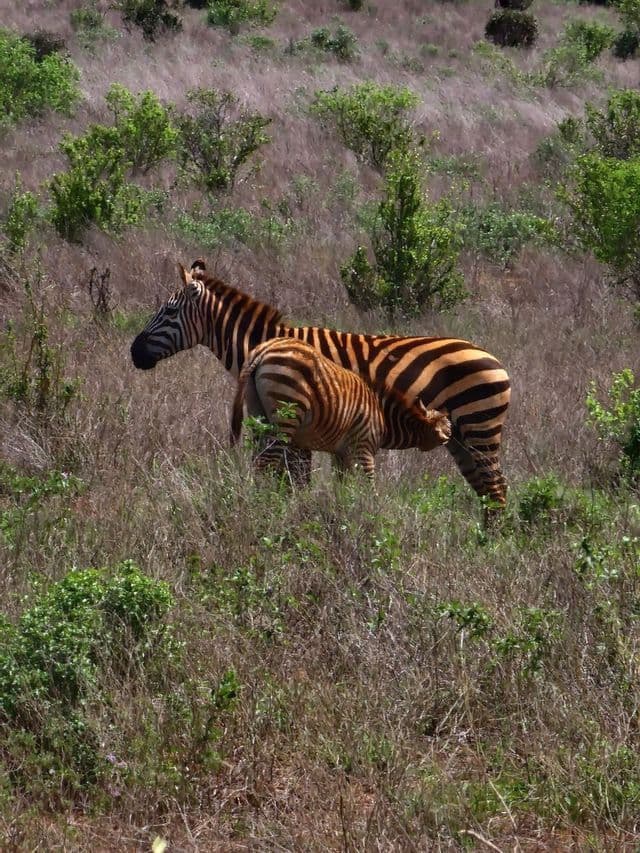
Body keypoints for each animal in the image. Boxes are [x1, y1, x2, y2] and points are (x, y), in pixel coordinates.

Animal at [230, 338, 452, 480]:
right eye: (449, 428)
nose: (451, 438)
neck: (383, 414)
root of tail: (263, 350)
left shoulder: (340, 454)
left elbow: (343, 487)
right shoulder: (364, 448)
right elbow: (368, 486)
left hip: (259, 416)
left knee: (258, 460)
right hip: (286, 413)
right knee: (264, 464)